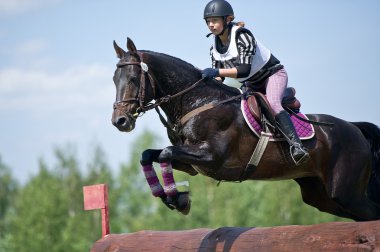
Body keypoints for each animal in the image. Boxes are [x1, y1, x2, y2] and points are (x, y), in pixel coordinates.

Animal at [110, 37, 380, 220]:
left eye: (133, 79)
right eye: (114, 80)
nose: (119, 121)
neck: (197, 102)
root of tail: (355, 129)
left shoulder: (211, 156)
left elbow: (165, 152)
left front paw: (179, 200)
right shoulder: (190, 164)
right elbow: (148, 155)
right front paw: (172, 197)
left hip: (346, 193)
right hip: (323, 196)